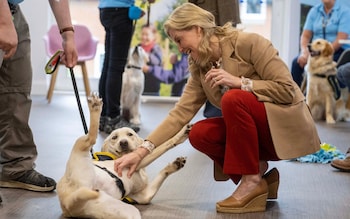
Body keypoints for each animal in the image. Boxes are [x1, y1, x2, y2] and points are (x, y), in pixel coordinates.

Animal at [57, 94, 190, 219]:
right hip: (80, 145)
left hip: (129, 211)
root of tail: (67, 203)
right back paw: (95, 107)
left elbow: (163, 173)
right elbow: (163, 146)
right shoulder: (136, 161)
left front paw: (175, 165)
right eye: (114, 137)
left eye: (130, 134)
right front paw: (180, 134)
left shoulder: (144, 196)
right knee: (90, 138)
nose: (123, 143)